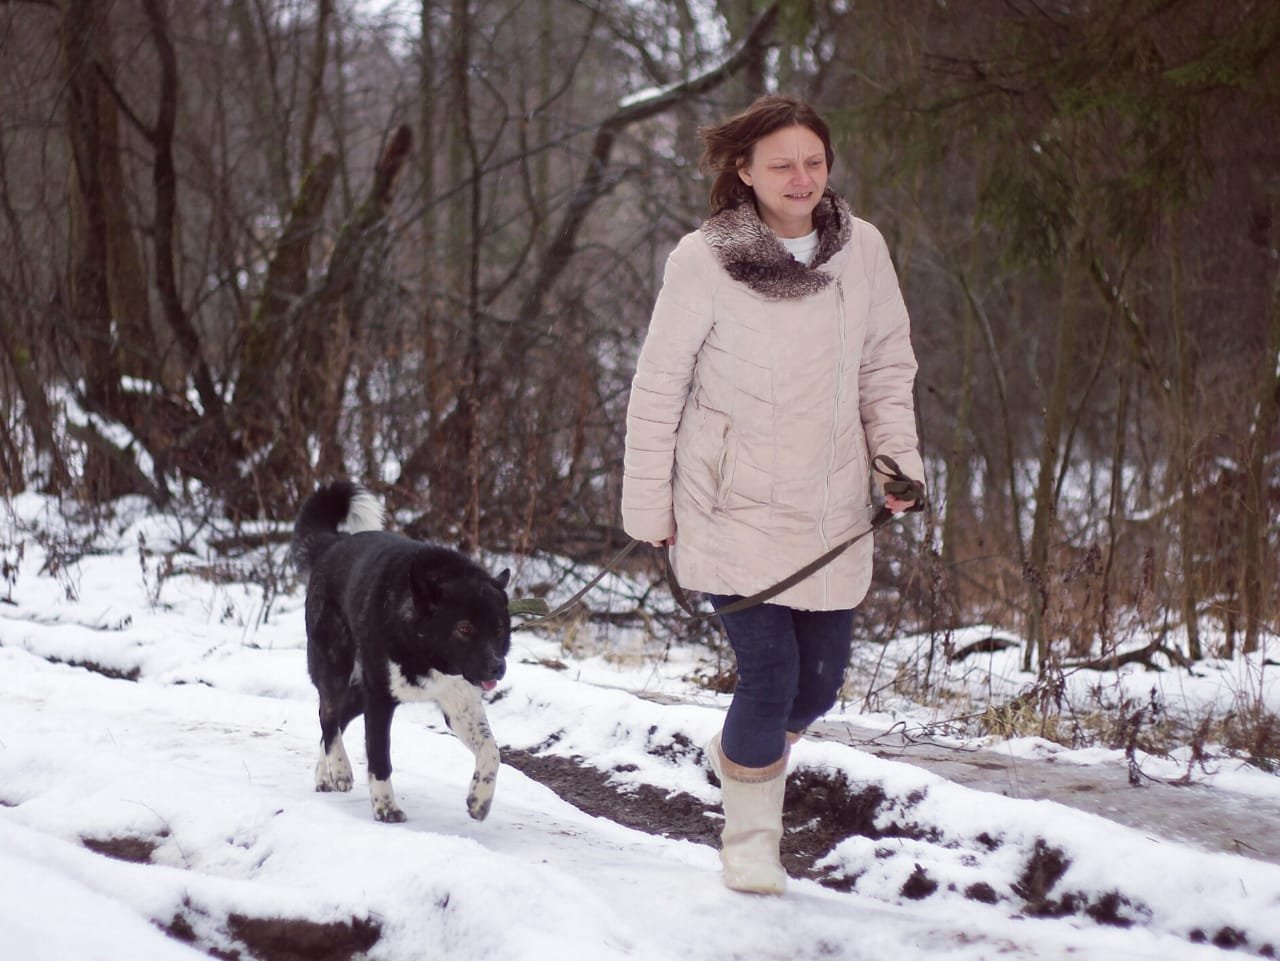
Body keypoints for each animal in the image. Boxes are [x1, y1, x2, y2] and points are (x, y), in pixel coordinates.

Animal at [291, 480, 511, 823]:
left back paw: (323, 774)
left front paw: (480, 800)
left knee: (337, 718)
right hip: (335, 664)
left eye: (500, 629)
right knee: (328, 715)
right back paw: (339, 769)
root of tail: (332, 544)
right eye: (464, 629)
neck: (423, 649)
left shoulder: (459, 701)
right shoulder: (380, 700)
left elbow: (491, 750)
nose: (497, 667)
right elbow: (380, 758)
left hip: (361, 690)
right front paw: (386, 808)